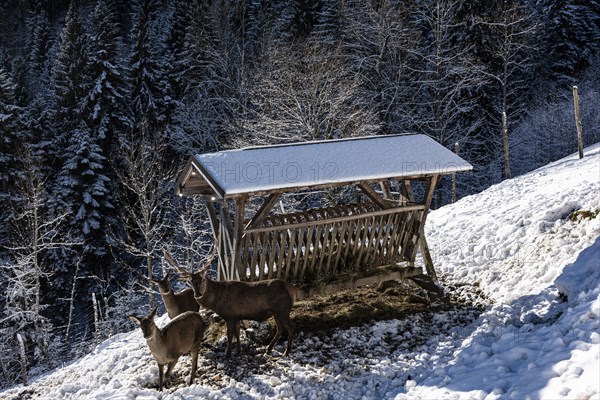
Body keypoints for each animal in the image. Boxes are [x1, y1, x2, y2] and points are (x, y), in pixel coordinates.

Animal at [163, 248, 296, 358]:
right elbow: (237, 333)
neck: (216, 302)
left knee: (290, 327)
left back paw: (286, 351)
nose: (198, 294)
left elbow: (230, 335)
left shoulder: (230, 315)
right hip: (276, 312)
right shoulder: (236, 316)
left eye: (203, 279)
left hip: (282, 309)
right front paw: (238, 351)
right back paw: (269, 349)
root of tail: (290, 289)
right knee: (280, 329)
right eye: (190, 282)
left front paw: (227, 354)